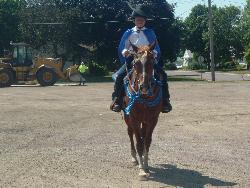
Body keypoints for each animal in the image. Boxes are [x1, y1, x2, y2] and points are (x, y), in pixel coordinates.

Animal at [122, 41, 162, 179]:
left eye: (152, 62)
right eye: (135, 63)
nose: (144, 87)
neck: (144, 97)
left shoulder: (153, 119)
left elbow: (147, 141)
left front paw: (146, 165)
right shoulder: (133, 118)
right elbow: (139, 142)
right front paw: (141, 169)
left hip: (144, 121)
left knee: (142, 135)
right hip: (127, 118)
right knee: (130, 134)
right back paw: (134, 158)